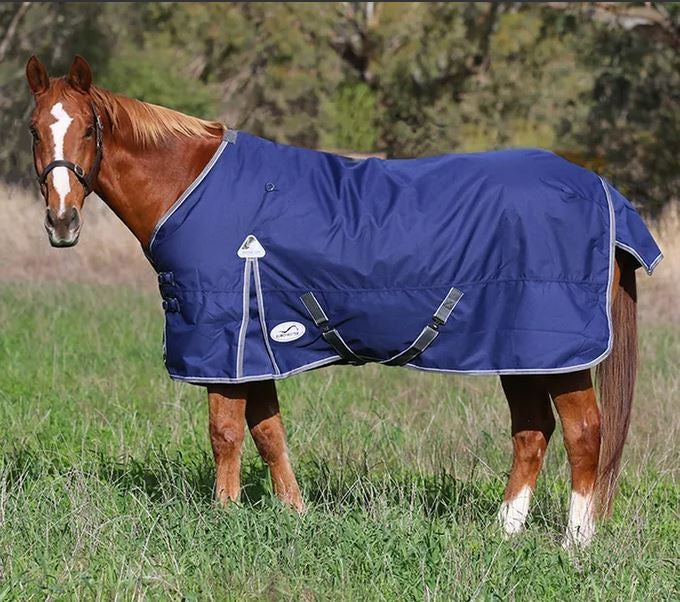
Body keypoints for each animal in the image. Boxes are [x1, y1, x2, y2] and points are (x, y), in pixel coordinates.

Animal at [22, 56, 636, 544]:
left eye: (88, 128)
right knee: (532, 432)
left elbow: (225, 433)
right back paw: (504, 531)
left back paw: (575, 542)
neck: (192, 187)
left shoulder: (227, 344)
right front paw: (294, 513)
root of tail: (599, 188)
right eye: (33, 130)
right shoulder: (260, 346)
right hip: (521, 351)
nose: (61, 222)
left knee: (585, 434)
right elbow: (268, 432)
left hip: (559, 353)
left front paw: (223, 516)